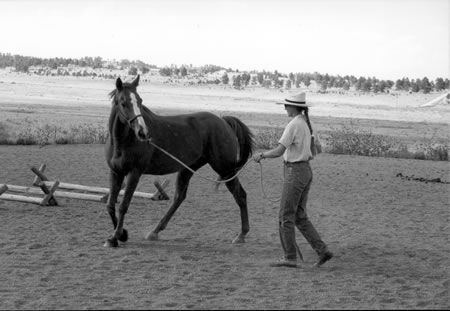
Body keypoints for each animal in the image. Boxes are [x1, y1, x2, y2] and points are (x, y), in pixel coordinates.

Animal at [103, 75, 255, 249]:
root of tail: (223, 121)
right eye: (123, 102)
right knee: (179, 197)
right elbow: (110, 205)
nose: (143, 132)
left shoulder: (134, 173)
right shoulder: (116, 172)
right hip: (188, 169)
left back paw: (241, 235)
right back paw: (155, 232)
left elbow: (123, 206)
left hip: (225, 169)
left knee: (240, 195)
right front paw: (120, 235)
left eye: (140, 101)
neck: (122, 142)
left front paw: (116, 237)